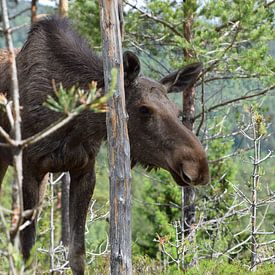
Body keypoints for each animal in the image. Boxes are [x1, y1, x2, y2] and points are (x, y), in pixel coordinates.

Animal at [0, 16, 210, 274]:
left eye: (178, 111)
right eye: (144, 109)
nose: (198, 167)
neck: (73, 123)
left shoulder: (83, 170)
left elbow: (77, 253)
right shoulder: (30, 169)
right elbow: (28, 253)